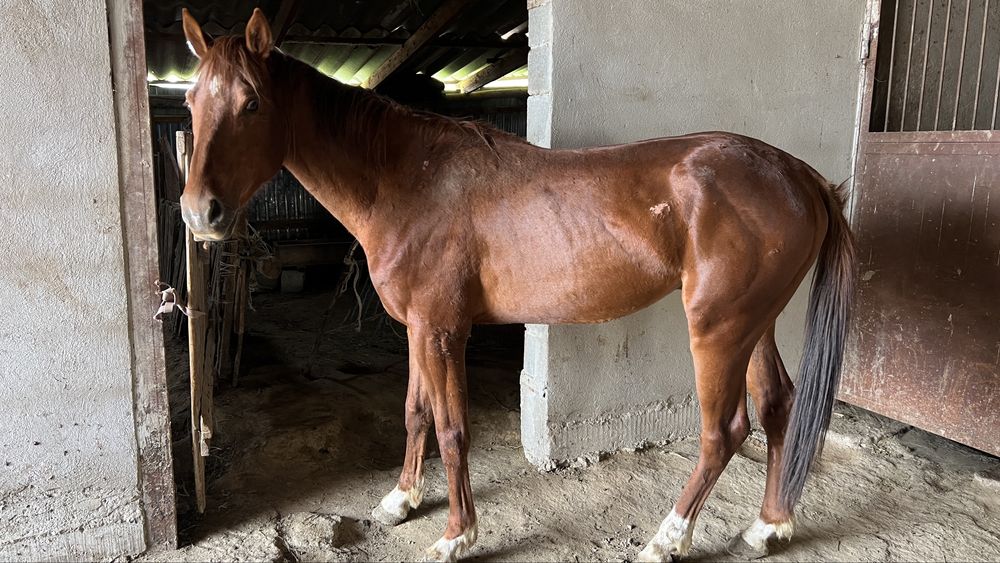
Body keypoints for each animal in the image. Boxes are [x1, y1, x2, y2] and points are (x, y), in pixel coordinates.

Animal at [178, 9, 856, 562]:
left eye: (251, 103)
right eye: (189, 101)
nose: (199, 213)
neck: (407, 179)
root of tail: (799, 175)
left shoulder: (444, 332)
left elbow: (453, 430)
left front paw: (456, 535)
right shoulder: (418, 329)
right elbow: (415, 413)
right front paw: (400, 500)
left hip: (717, 330)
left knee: (723, 433)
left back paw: (667, 539)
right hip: (753, 323)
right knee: (778, 406)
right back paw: (769, 528)